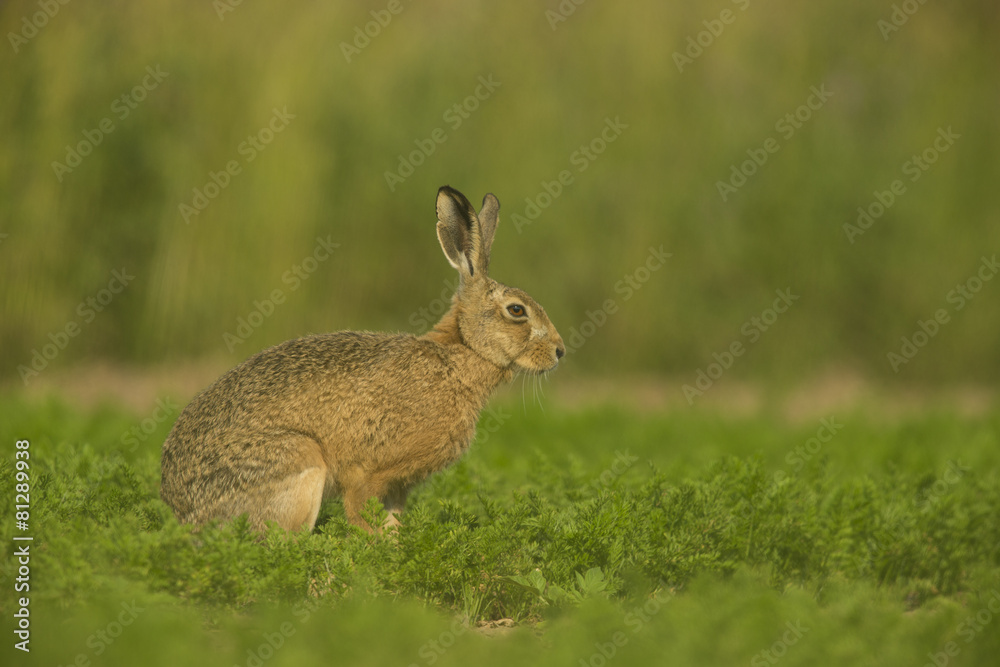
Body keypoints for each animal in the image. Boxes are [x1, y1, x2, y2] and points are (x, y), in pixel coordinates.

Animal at [160, 186, 565, 532]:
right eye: (517, 310)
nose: (560, 351)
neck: (460, 354)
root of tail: (181, 513)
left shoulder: (399, 485)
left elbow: (394, 521)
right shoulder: (368, 472)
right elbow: (360, 514)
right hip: (300, 463)